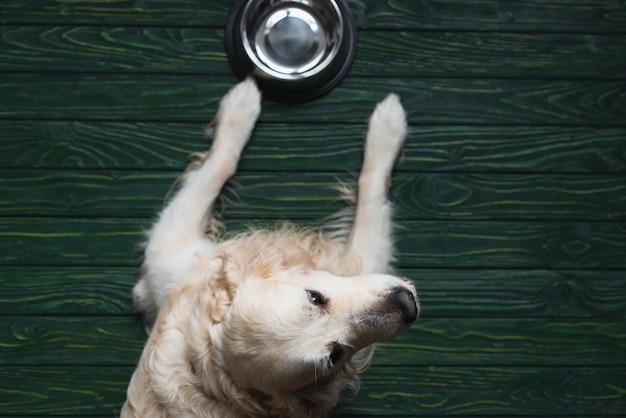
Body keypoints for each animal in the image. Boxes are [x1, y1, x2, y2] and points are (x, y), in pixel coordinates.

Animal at [122, 79, 416, 418]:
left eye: (314, 297)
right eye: (335, 355)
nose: (407, 305)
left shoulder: (170, 272)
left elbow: (219, 165)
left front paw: (240, 105)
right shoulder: (168, 243)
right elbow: (372, 194)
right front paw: (389, 126)